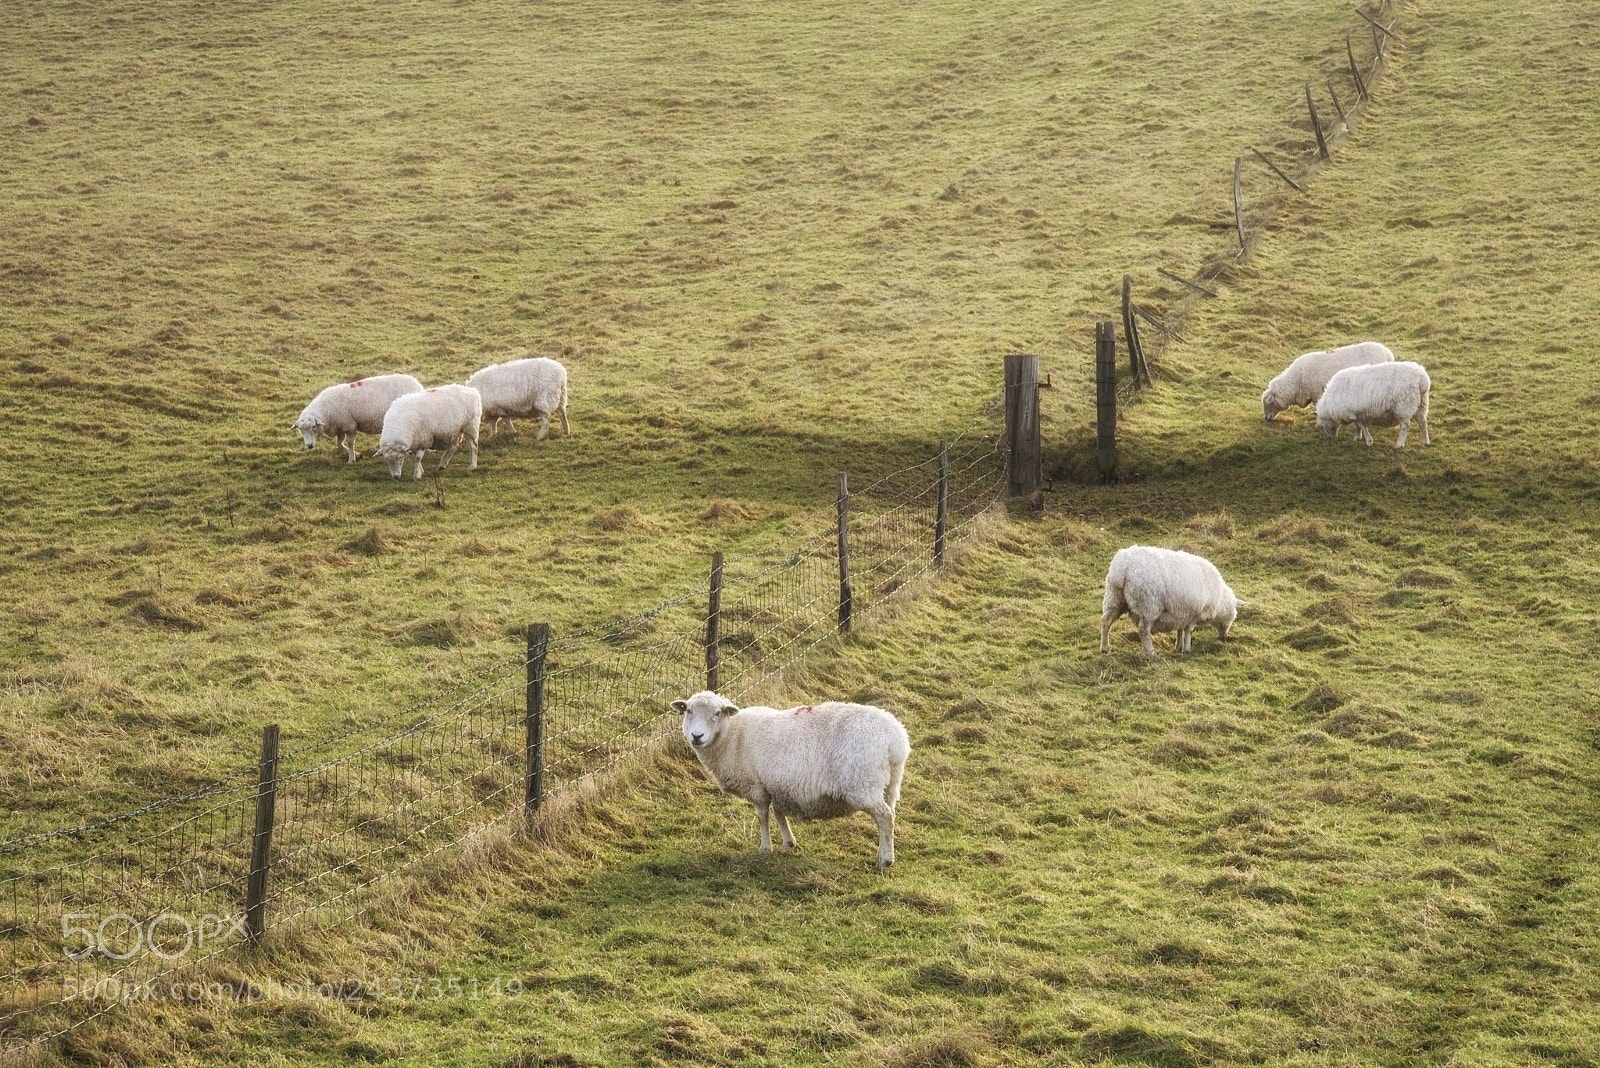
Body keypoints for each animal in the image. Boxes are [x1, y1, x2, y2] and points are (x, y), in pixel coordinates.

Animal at [292, 374, 424, 462]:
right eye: (301, 430)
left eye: (314, 427)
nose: (309, 446)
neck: (326, 410)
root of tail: (417, 384)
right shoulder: (340, 427)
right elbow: (339, 444)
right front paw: (357, 454)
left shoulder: (350, 425)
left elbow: (350, 442)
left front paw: (351, 459)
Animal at [674, 690, 911, 870]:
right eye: (689, 711)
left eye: (717, 713)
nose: (697, 736)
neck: (732, 735)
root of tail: (897, 739)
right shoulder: (777, 786)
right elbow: (779, 814)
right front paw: (788, 843)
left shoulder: (757, 787)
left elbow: (763, 817)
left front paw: (765, 848)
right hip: (889, 784)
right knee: (888, 817)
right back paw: (883, 851)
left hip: (863, 784)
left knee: (884, 816)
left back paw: (885, 860)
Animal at [1100, 546, 1245, 658]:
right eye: (1233, 616)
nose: (1224, 637)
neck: (1220, 600)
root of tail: (1123, 567)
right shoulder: (1194, 613)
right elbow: (1189, 630)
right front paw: (1187, 648)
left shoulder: (1182, 612)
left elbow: (1180, 630)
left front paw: (1179, 646)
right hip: (1148, 604)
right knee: (1143, 630)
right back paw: (1151, 654)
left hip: (1114, 598)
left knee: (1106, 622)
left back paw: (1105, 648)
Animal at [1262, 342, 1394, 421]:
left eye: (1268, 404)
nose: (1267, 418)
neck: (1295, 382)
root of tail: (1387, 353)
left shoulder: (1316, 392)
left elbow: (1317, 405)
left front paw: (1317, 414)